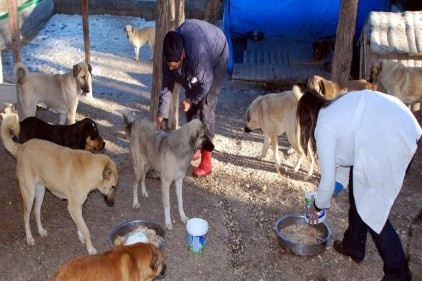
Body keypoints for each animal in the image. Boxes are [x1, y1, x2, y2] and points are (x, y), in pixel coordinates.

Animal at [0, 112, 118, 254]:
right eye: (113, 187)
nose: (112, 204)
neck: (87, 168)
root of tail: (21, 147)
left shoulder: (77, 207)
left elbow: (80, 225)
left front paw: (81, 236)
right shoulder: (73, 207)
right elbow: (86, 229)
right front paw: (90, 248)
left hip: (40, 192)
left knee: (36, 212)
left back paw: (41, 231)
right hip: (29, 194)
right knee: (26, 216)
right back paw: (29, 238)